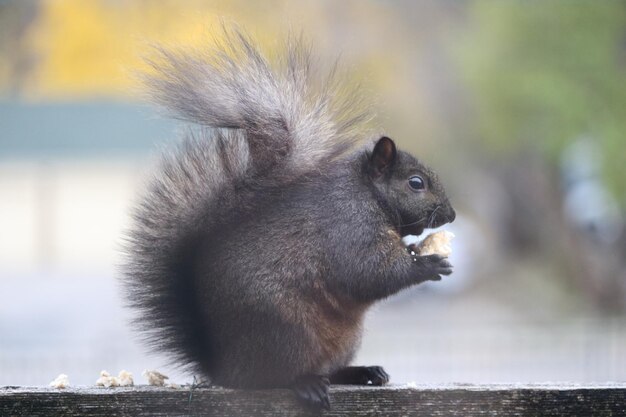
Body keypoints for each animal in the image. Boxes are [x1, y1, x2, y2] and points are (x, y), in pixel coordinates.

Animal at [122, 28, 454, 410]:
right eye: (416, 183)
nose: (451, 215)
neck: (368, 193)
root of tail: (225, 368)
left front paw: (418, 250)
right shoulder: (348, 225)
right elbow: (366, 272)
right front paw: (428, 264)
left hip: (344, 339)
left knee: (331, 370)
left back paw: (362, 372)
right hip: (286, 330)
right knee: (278, 377)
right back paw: (306, 383)